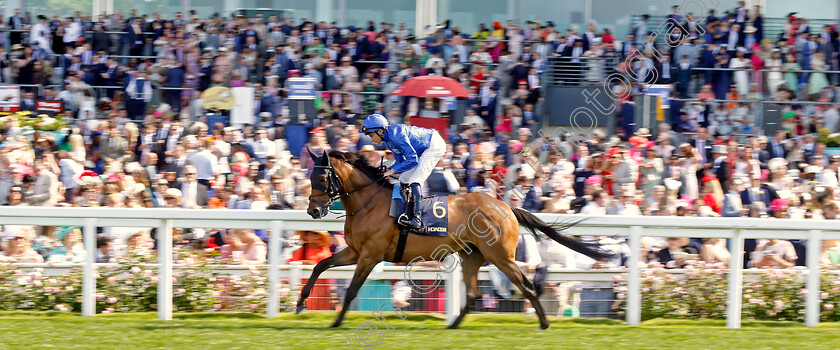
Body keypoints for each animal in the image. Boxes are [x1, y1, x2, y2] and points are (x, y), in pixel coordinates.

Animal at [298, 149, 608, 330]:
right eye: (310, 177)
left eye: (322, 179)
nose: (313, 211)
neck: (369, 203)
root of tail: (507, 208)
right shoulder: (354, 251)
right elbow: (320, 266)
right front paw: (301, 303)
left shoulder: (369, 256)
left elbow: (351, 290)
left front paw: (336, 322)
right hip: (472, 255)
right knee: (473, 294)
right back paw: (453, 325)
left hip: (500, 256)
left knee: (527, 284)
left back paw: (544, 323)